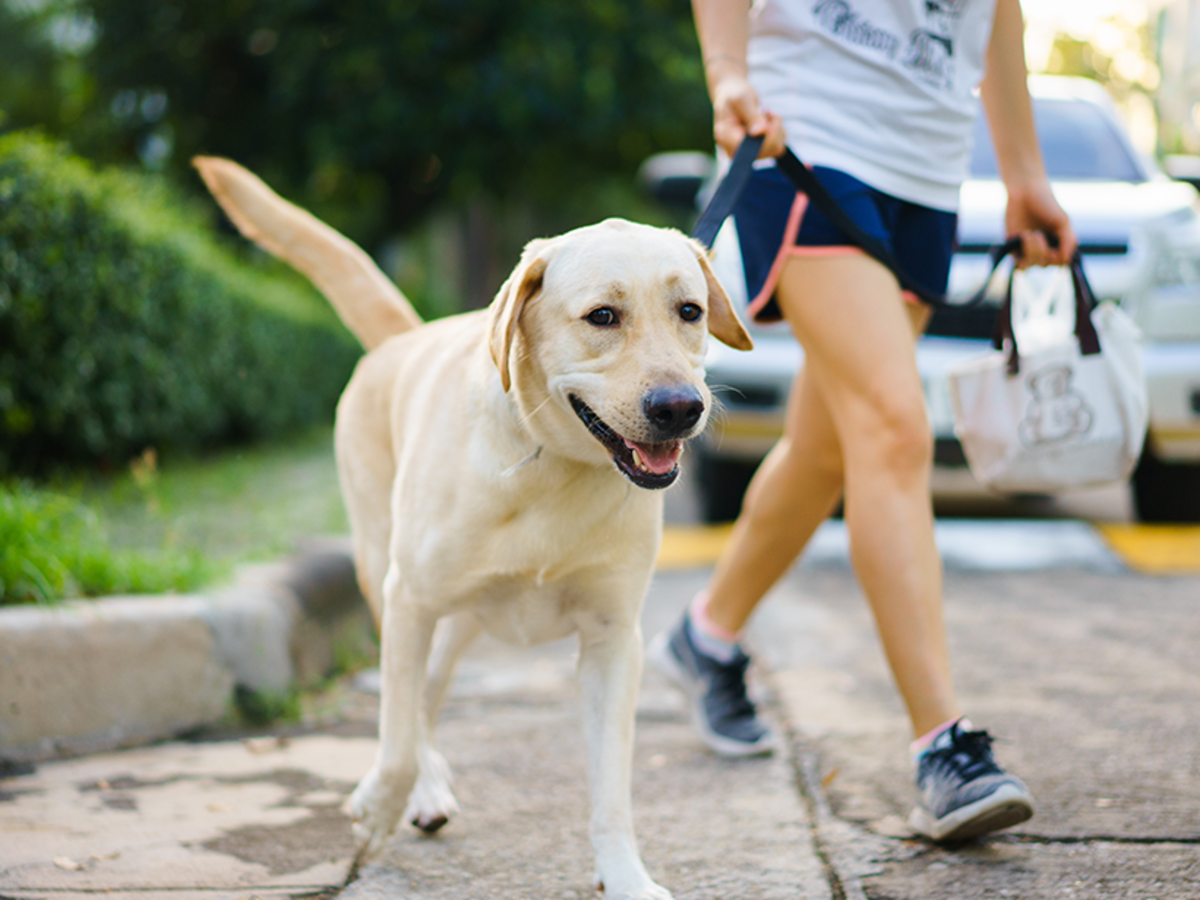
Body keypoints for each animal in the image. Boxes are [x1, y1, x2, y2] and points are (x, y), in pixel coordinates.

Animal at [194, 157, 748, 900]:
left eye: (689, 311)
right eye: (603, 316)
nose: (681, 407)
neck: (553, 467)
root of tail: (402, 336)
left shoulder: (613, 640)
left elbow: (612, 787)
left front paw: (626, 876)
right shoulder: (408, 601)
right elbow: (396, 741)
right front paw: (379, 806)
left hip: (458, 625)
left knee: (426, 701)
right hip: (390, 581)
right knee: (408, 715)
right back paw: (418, 793)